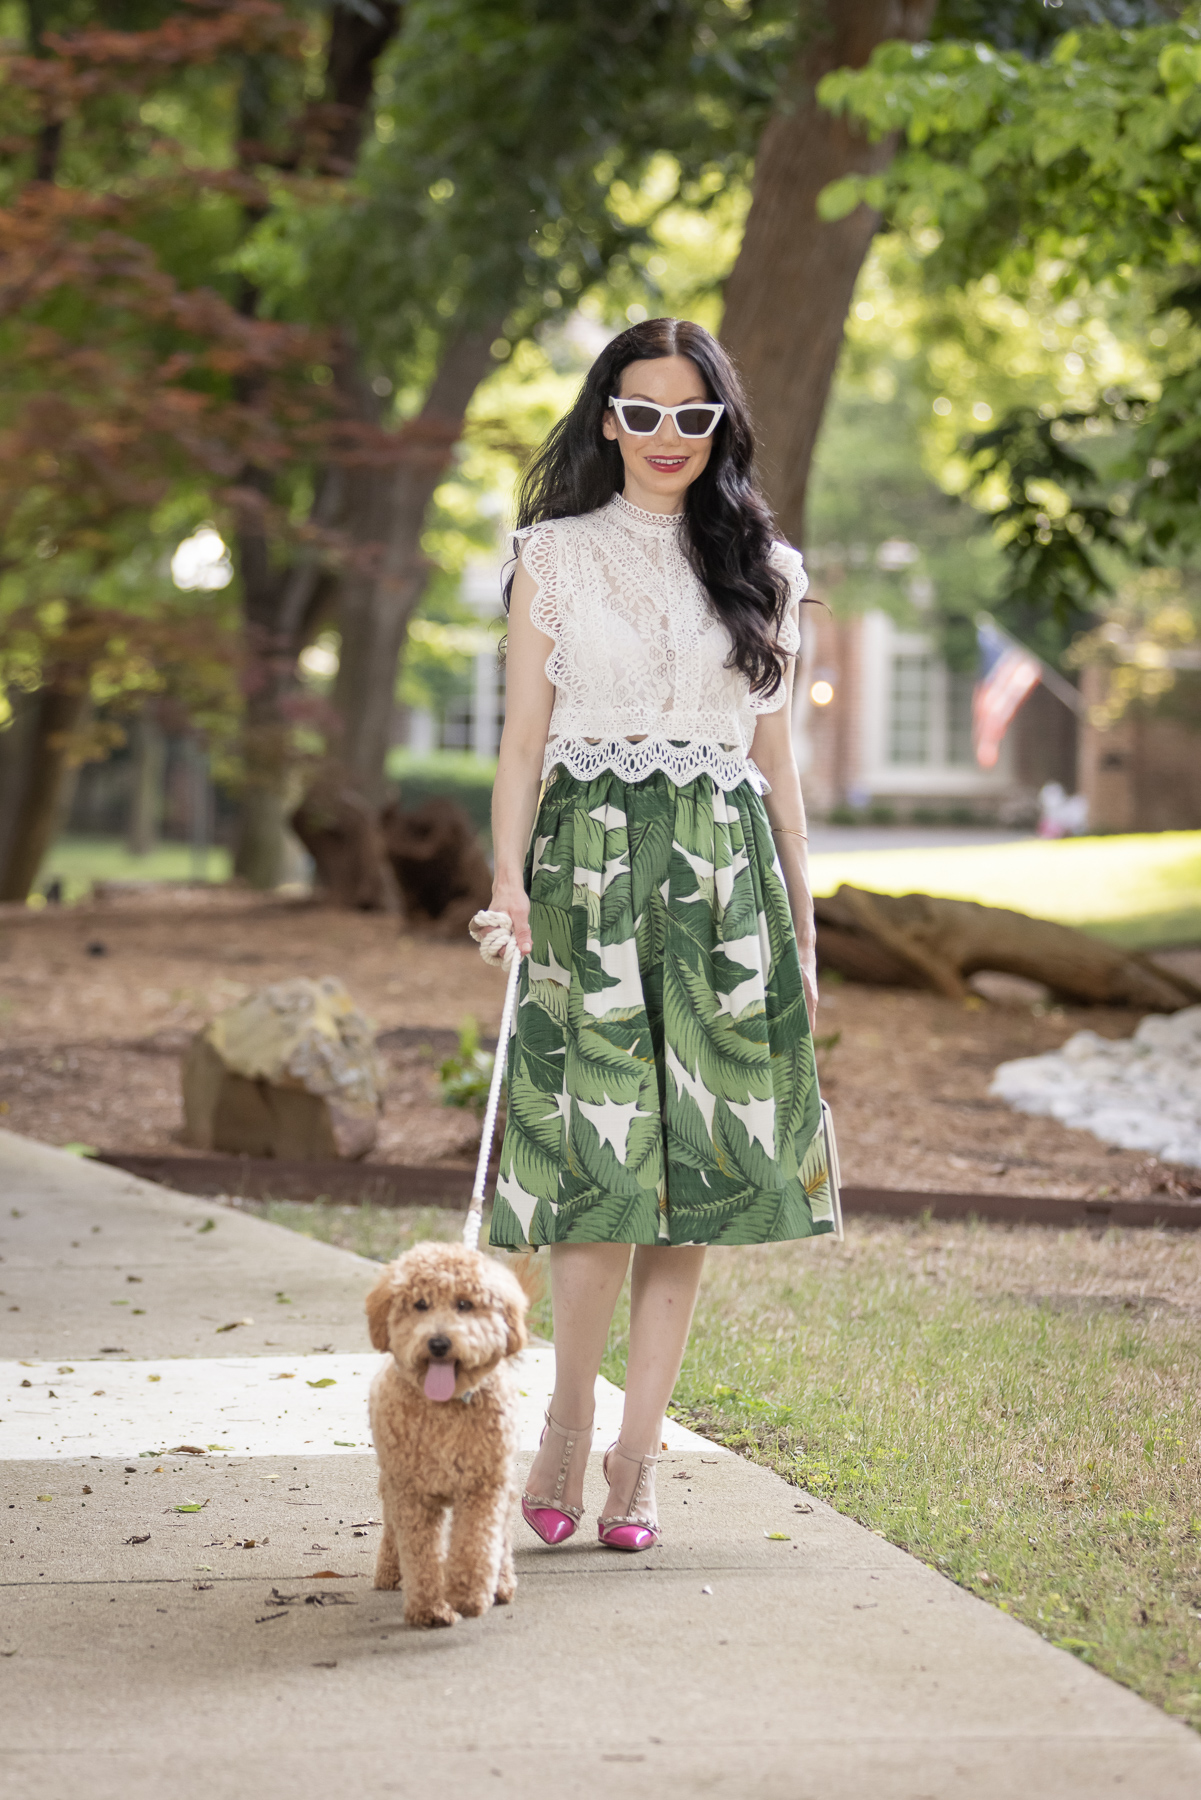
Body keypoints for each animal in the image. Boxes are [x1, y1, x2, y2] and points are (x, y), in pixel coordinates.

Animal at [363, 1245, 529, 1627]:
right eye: (420, 1304)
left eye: (464, 1304)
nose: (438, 1343)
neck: (444, 1407)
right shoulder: (411, 1493)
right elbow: (420, 1553)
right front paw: (430, 1609)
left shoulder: (484, 1487)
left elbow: (477, 1543)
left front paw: (466, 1595)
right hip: (390, 1482)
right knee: (391, 1529)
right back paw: (388, 1572)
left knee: (501, 1539)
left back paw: (501, 1584)